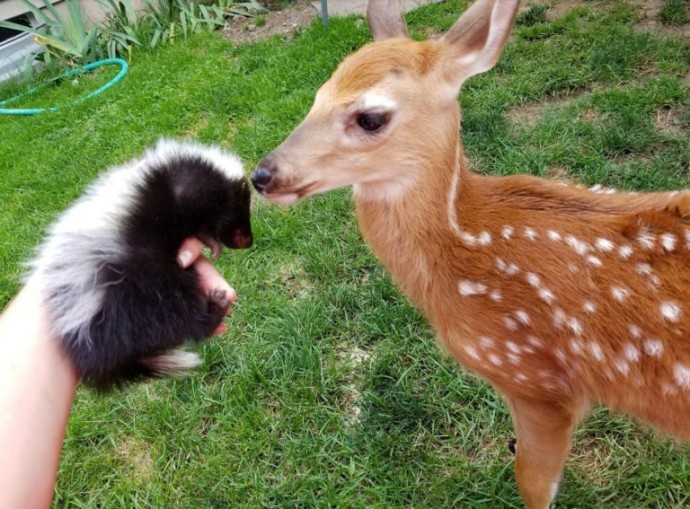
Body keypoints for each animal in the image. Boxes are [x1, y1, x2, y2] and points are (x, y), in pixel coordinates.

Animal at [28, 138, 253, 388]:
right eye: (242, 212)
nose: (248, 241)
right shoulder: (185, 194)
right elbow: (201, 223)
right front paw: (213, 243)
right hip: (142, 290)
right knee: (181, 313)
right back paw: (215, 307)